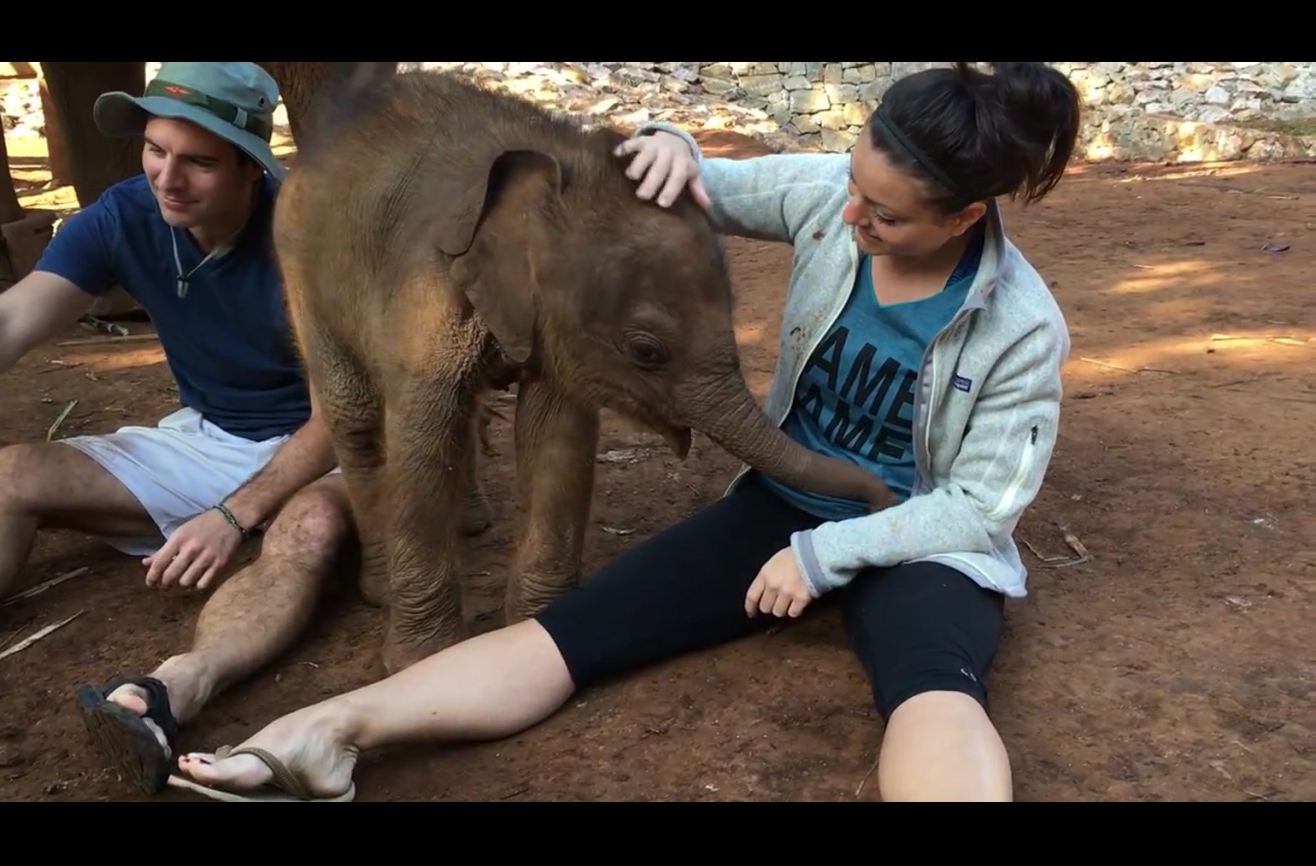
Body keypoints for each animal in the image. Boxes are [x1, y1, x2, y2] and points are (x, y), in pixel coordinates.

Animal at [277, 70, 894, 671]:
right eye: (646, 351)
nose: (883, 501)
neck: (550, 166)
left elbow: (557, 435)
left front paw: (531, 623)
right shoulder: (426, 292)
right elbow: (422, 438)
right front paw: (421, 660)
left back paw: (472, 524)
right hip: (298, 267)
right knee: (357, 417)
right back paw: (382, 585)